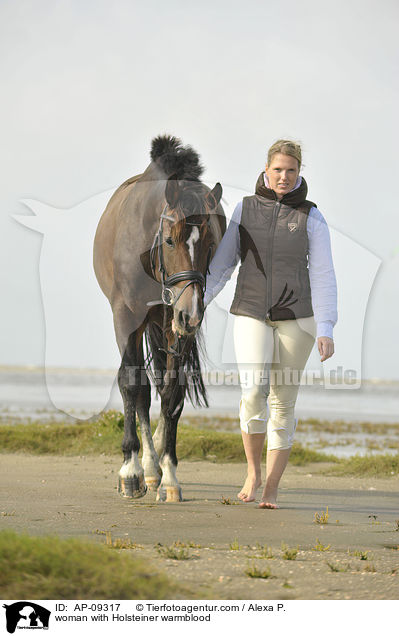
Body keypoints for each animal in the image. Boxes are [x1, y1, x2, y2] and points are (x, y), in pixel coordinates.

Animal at [92, 135, 227, 502]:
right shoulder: (126, 319)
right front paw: (131, 471)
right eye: (169, 240)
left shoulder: (175, 327)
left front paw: (169, 476)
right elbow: (132, 385)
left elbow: (172, 396)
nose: (191, 311)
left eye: (211, 242)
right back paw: (144, 468)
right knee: (138, 390)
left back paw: (155, 470)